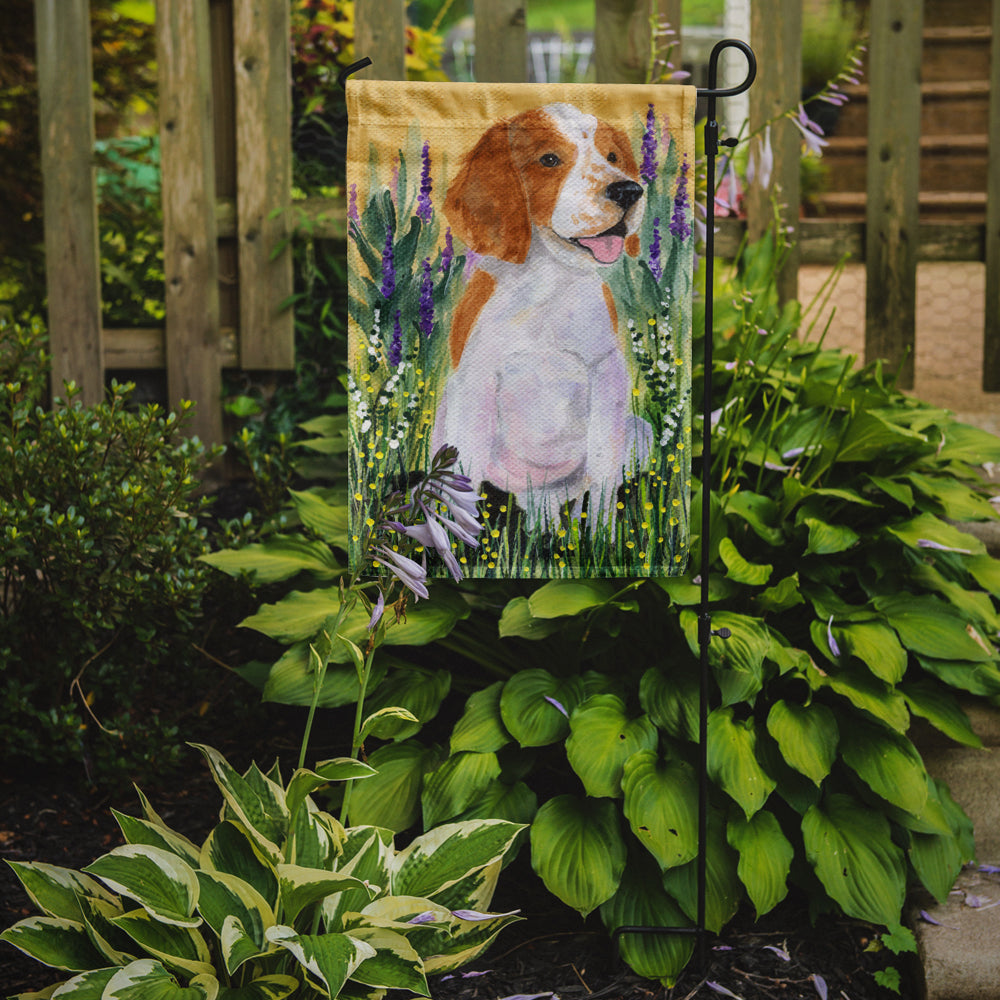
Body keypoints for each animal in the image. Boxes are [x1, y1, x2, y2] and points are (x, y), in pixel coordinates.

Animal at [432, 100, 652, 524]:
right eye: (549, 159)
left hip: (640, 433)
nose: (629, 189)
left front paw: (602, 535)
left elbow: (602, 477)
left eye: (613, 157)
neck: (549, 286)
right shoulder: (474, 384)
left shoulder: (608, 375)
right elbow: (463, 482)